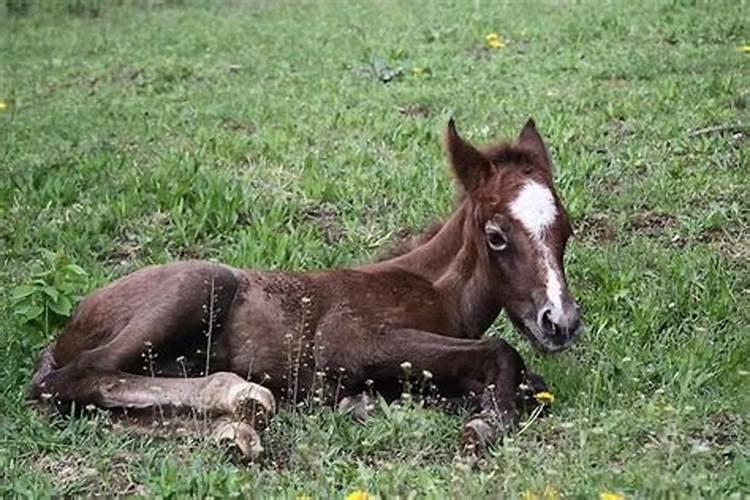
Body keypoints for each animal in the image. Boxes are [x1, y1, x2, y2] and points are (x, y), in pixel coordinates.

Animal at [27, 118, 580, 460]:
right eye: (496, 235)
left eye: (566, 229)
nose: (561, 322)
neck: (435, 288)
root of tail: (68, 328)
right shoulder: (348, 340)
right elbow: (502, 351)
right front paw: (486, 423)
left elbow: (522, 380)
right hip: (203, 282)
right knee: (74, 379)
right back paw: (239, 394)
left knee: (95, 406)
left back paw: (235, 429)